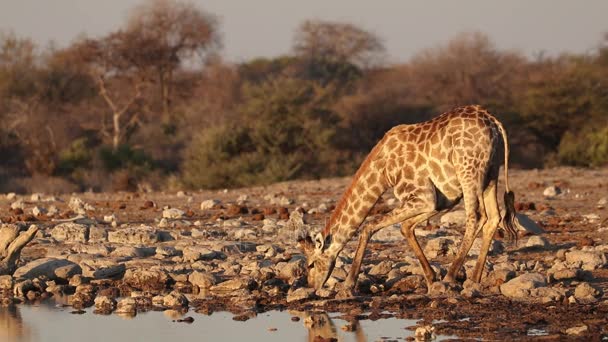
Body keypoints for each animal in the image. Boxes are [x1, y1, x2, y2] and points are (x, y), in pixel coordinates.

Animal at [296, 104, 516, 292]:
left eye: (311, 265)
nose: (312, 287)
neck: (382, 171)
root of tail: (494, 123)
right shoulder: (440, 200)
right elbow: (405, 227)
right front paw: (431, 279)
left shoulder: (422, 195)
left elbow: (368, 226)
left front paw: (348, 284)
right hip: (491, 173)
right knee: (493, 218)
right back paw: (474, 279)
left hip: (468, 170)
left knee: (476, 217)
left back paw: (450, 277)